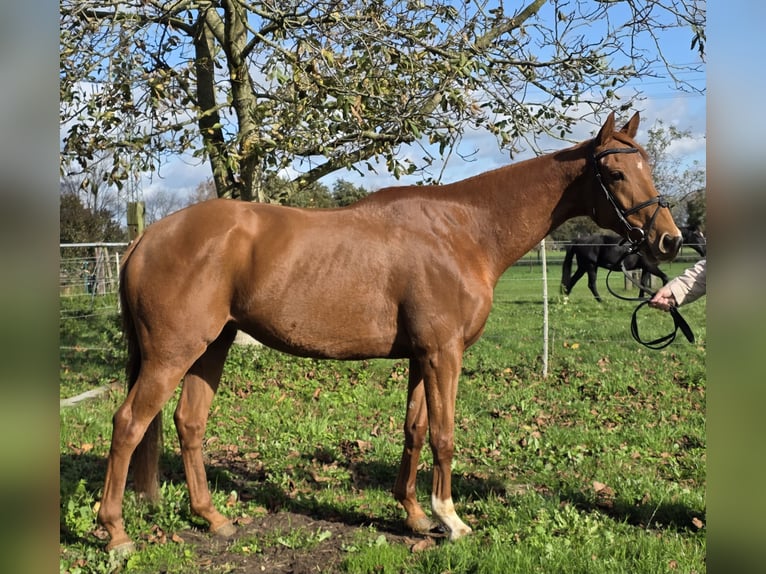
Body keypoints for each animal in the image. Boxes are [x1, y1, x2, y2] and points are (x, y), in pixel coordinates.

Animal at [98, 112, 683, 553]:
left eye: (646, 166)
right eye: (616, 174)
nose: (670, 240)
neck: (464, 231)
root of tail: (148, 236)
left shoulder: (421, 356)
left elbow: (415, 431)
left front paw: (416, 516)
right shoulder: (444, 354)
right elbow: (444, 435)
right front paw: (452, 521)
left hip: (210, 348)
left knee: (189, 423)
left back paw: (213, 519)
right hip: (172, 353)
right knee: (128, 424)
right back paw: (116, 534)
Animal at [560, 226, 705, 302]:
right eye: (697, 236)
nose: (705, 250)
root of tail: (579, 241)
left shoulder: (645, 268)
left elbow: (643, 283)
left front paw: (641, 298)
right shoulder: (650, 267)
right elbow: (664, 277)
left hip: (583, 267)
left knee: (571, 281)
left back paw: (565, 300)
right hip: (590, 266)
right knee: (591, 284)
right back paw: (601, 301)